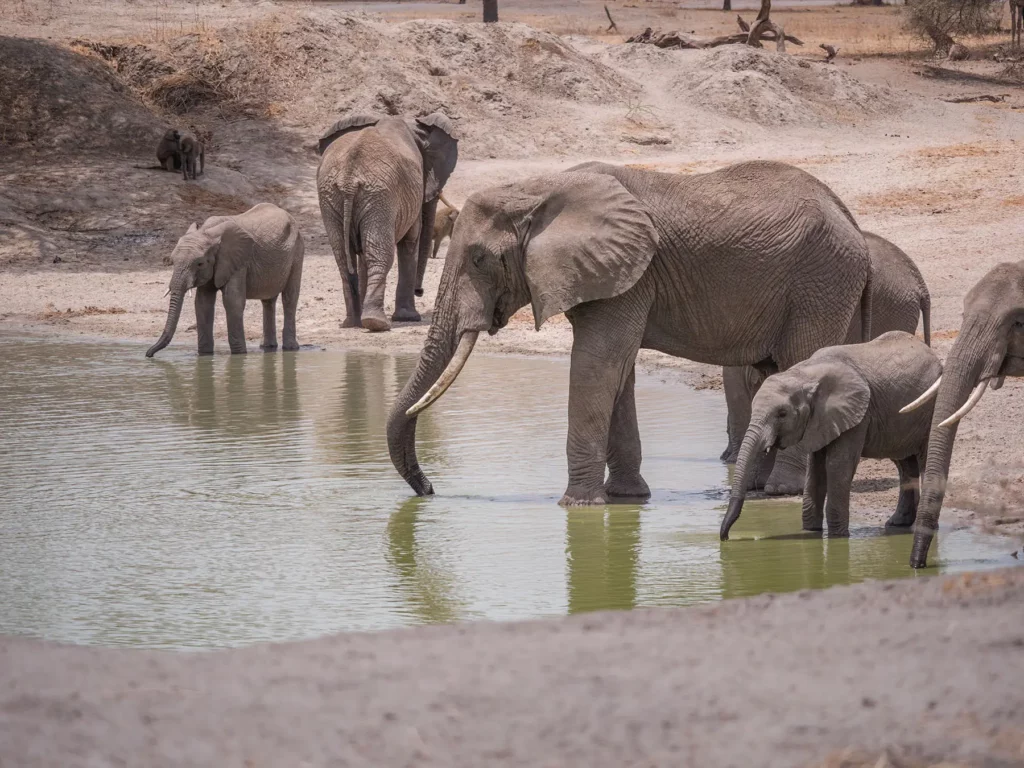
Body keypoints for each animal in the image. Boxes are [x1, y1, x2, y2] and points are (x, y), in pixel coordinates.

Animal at [146, 203, 304, 357]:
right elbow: (203, 303)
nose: (148, 354)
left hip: (297, 251)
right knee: (268, 301)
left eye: (200, 263)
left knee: (289, 298)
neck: (207, 232)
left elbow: (232, 301)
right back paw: (268, 347)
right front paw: (204, 355)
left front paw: (239, 355)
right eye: (172, 262)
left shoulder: (238, 262)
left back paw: (290, 348)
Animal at [316, 113, 459, 332]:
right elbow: (411, 241)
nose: (420, 291)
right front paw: (409, 318)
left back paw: (353, 323)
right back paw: (376, 323)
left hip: (334, 197)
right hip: (379, 195)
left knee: (344, 258)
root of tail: (348, 177)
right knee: (381, 254)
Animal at [386, 161, 872, 505]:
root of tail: (849, 218)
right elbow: (618, 370)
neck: (537, 188)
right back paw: (752, 488)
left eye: (480, 259)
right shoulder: (613, 277)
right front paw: (626, 498)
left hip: (821, 281)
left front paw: (577, 506)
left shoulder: (630, 274)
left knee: (796, 364)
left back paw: (778, 490)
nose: (429, 490)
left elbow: (598, 363)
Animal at [720, 331, 942, 541]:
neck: (805, 375)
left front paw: (837, 537)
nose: (725, 537)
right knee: (904, 463)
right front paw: (811, 532)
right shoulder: (820, 421)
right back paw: (897, 523)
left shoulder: (857, 415)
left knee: (922, 458)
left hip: (928, 409)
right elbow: (815, 468)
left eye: (782, 414)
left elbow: (838, 465)